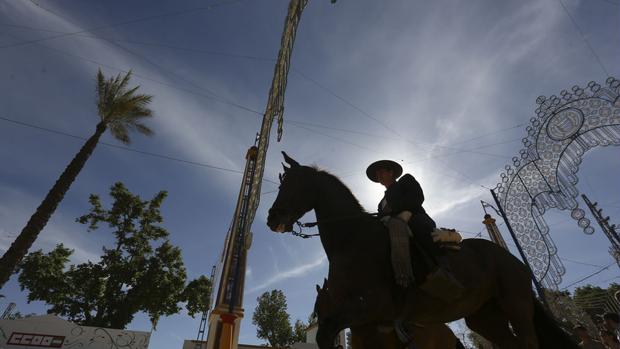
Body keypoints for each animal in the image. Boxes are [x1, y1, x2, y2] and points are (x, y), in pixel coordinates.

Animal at [268, 152, 580, 348]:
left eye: (294, 183)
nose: (272, 219)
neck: (352, 241)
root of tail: (512, 259)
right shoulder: (361, 324)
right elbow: (325, 336)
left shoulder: (369, 308)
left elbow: (326, 335)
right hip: (485, 317)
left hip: (516, 305)